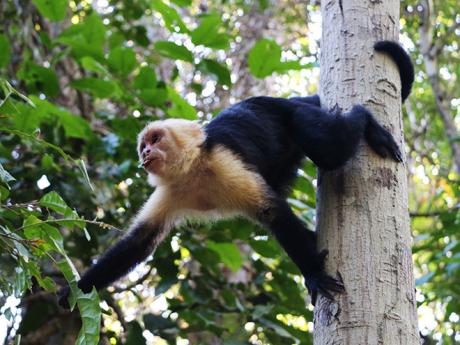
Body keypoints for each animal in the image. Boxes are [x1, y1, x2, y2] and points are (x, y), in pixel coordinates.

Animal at [57, 40, 414, 306]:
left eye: (155, 139)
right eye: (143, 144)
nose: (145, 153)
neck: (195, 170)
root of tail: (284, 99)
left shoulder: (223, 161)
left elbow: (273, 212)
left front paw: (313, 274)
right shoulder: (172, 189)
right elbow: (139, 242)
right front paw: (75, 289)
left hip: (298, 114)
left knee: (328, 148)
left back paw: (365, 119)